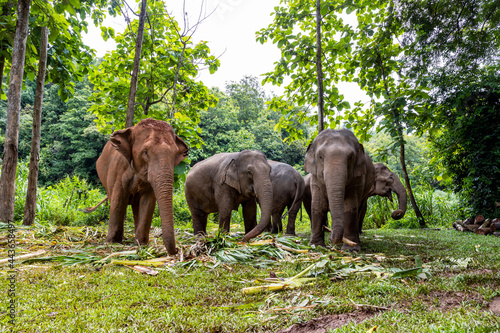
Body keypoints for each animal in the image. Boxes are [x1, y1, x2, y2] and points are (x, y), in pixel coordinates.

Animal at [95, 117, 188, 254]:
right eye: (145, 152)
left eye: (175, 154)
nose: (177, 249)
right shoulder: (118, 170)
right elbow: (118, 200)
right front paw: (112, 242)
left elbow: (148, 202)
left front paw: (142, 244)